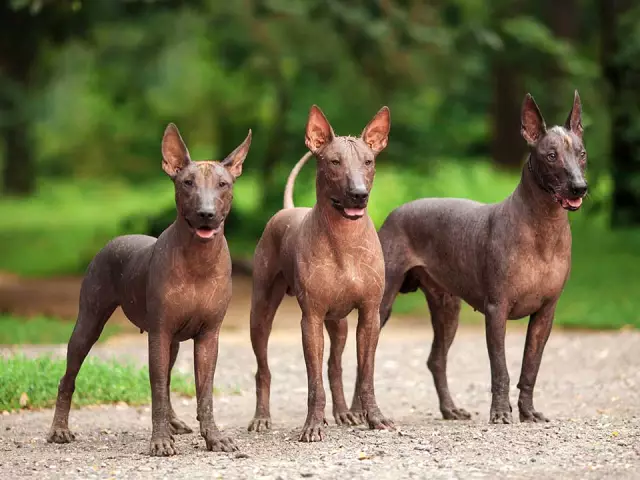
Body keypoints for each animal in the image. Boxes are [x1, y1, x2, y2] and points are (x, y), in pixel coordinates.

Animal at [47, 123, 252, 454]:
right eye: (187, 183)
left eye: (223, 184)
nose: (206, 213)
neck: (199, 259)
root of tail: (114, 240)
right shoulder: (159, 333)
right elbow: (156, 389)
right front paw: (160, 440)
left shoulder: (208, 336)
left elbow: (204, 392)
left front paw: (213, 436)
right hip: (89, 324)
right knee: (68, 377)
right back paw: (59, 429)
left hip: (174, 342)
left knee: (167, 382)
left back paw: (174, 422)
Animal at [250, 105, 396, 442]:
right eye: (334, 162)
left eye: (368, 162)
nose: (358, 194)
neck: (345, 239)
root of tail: (287, 209)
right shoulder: (311, 320)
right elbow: (313, 382)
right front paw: (313, 425)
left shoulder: (369, 315)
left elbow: (364, 374)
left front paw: (374, 417)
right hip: (260, 314)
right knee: (263, 369)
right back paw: (261, 418)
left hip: (339, 323)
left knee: (335, 365)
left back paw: (343, 413)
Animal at [350, 90, 592, 424]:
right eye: (551, 156)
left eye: (582, 154)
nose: (579, 187)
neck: (543, 226)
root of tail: (394, 213)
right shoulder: (496, 310)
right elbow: (500, 369)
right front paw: (501, 413)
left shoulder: (546, 314)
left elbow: (530, 368)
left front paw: (528, 412)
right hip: (381, 305)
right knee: (365, 359)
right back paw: (356, 414)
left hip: (448, 309)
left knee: (436, 359)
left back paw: (450, 409)